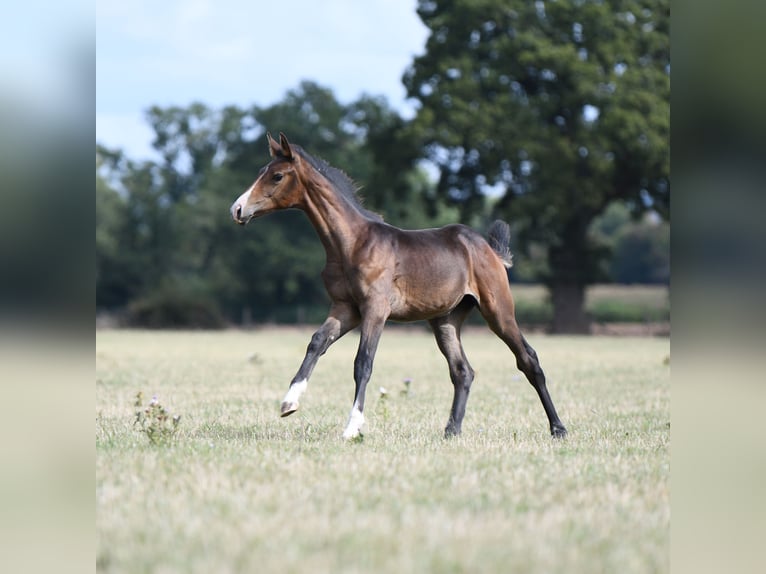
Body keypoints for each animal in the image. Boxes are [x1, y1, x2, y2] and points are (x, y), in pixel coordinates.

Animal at [230, 133, 567, 440]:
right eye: (262, 170)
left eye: (276, 176)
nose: (237, 209)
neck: (351, 243)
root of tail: (490, 250)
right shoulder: (345, 308)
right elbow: (316, 342)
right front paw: (289, 402)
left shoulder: (375, 309)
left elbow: (363, 363)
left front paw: (353, 427)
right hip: (445, 319)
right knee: (462, 371)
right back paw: (451, 431)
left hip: (498, 310)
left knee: (528, 360)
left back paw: (558, 428)